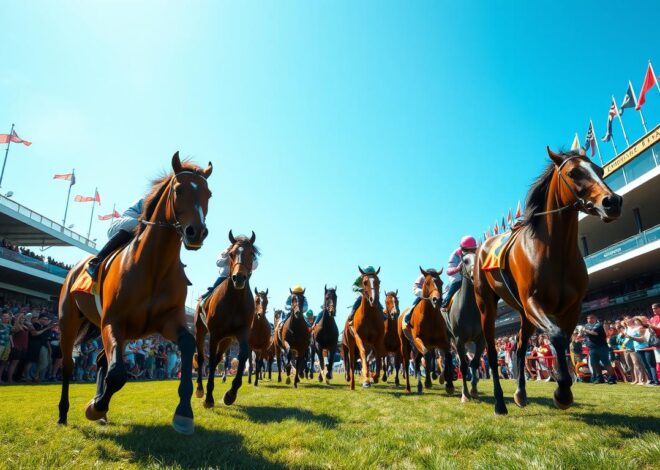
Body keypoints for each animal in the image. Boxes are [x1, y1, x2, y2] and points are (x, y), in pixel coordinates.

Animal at [57, 153, 213, 434]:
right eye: (178, 189)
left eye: (209, 194)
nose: (197, 232)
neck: (154, 265)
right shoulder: (113, 321)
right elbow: (118, 373)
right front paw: (95, 407)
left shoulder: (166, 322)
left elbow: (188, 348)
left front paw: (184, 413)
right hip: (69, 321)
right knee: (68, 366)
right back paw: (64, 413)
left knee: (101, 360)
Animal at [193, 230, 258, 408]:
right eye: (231, 254)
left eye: (251, 254)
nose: (239, 278)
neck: (235, 301)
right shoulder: (214, 335)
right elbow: (208, 360)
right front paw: (209, 397)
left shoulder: (242, 333)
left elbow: (243, 356)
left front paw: (231, 394)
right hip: (200, 331)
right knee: (201, 358)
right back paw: (200, 389)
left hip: (227, 340)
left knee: (217, 360)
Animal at [398, 266, 454, 394]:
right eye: (427, 283)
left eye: (441, 282)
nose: (437, 300)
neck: (431, 316)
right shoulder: (418, 339)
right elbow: (428, 356)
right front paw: (428, 381)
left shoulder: (442, 341)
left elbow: (447, 356)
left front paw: (449, 384)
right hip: (406, 344)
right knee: (408, 361)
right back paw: (409, 387)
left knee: (418, 360)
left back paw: (420, 385)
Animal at [474, 148, 624, 414]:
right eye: (573, 173)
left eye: (600, 169)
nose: (612, 202)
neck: (555, 250)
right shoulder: (534, 302)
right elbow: (556, 336)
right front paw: (562, 391)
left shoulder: (572, 308)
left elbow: (562, 342)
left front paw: (563, 385)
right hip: (487, 306)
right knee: (491, 353)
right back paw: (500, 403)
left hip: (523, 314)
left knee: (520, 345)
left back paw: (520, 393)